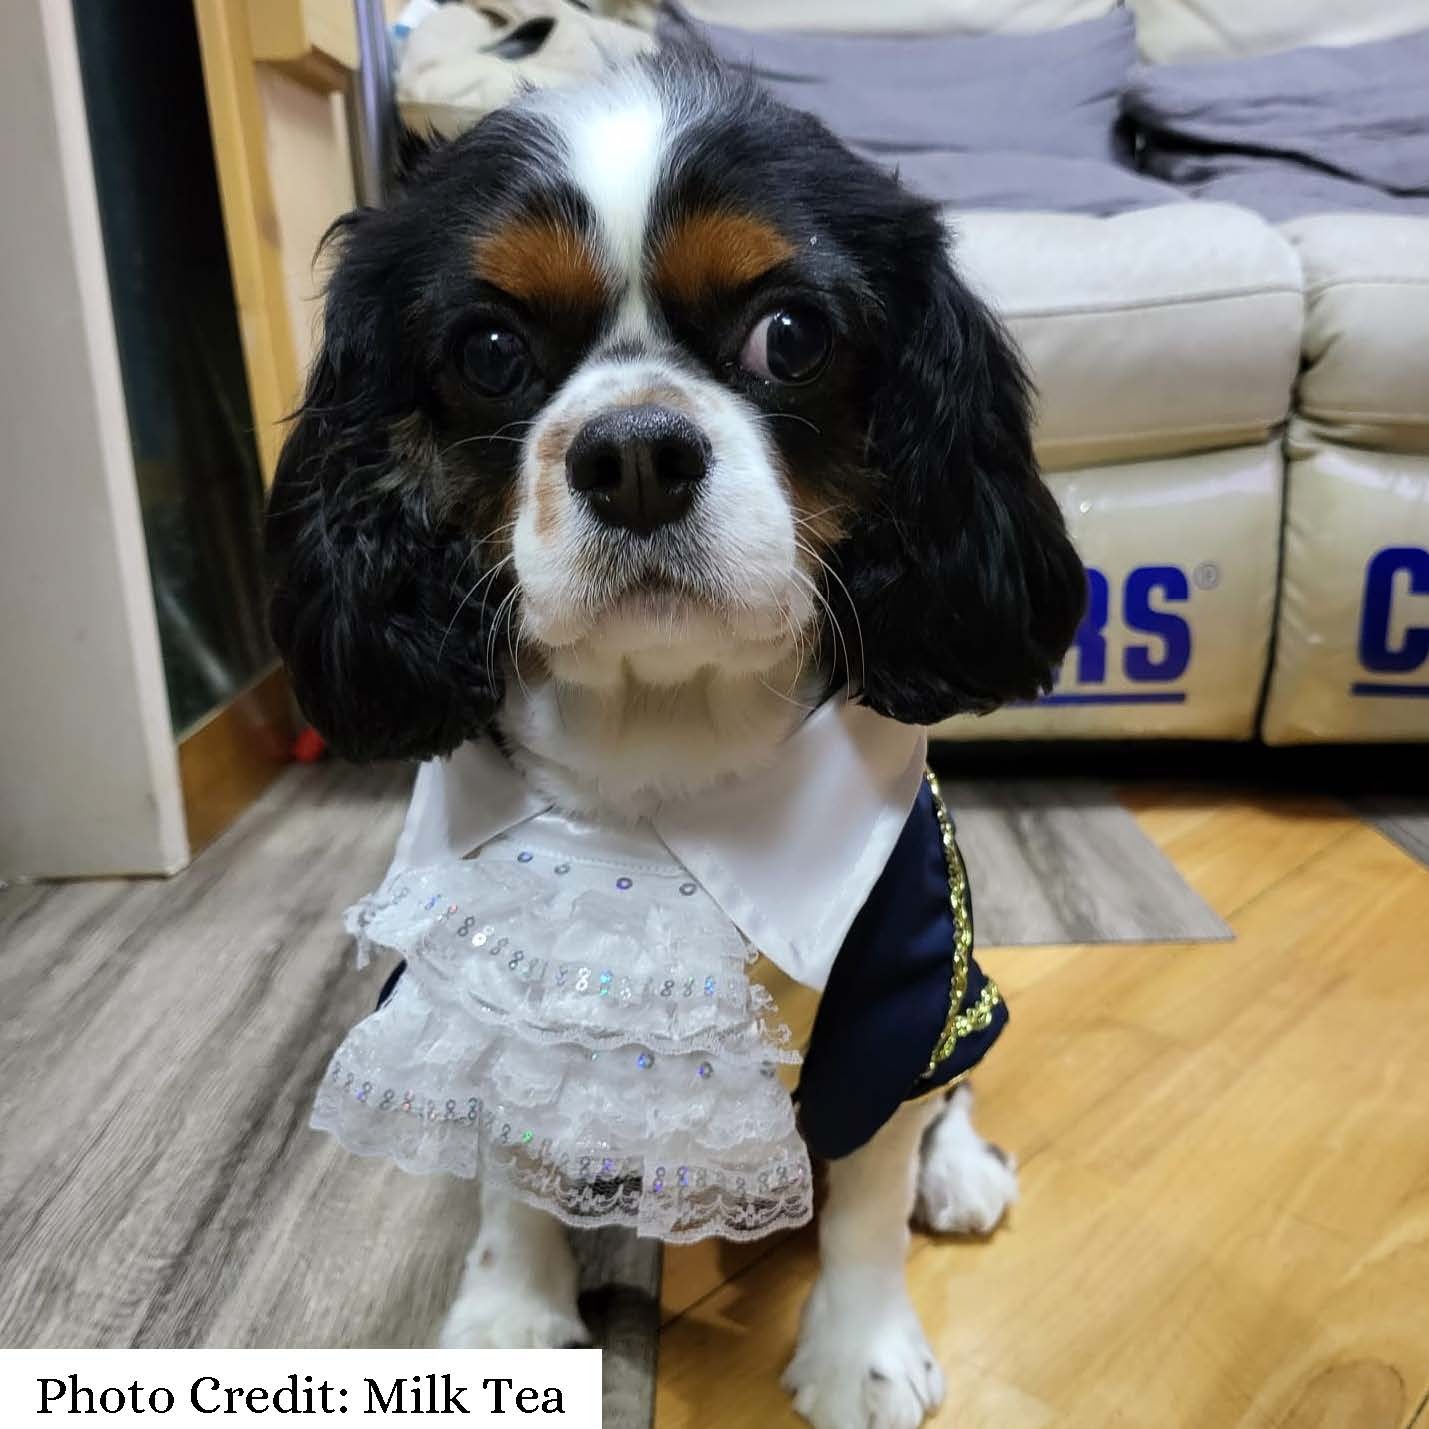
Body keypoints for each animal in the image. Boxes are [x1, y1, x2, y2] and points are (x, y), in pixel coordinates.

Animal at [266, 51, 1084, 1429]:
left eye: (791, 335)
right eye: (490, 350)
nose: (637, 453)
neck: (658, 748)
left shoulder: (903, 981)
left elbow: (867, 1184)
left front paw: (861, 1351)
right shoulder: (470, 986)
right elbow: (502, 1144)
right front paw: (507, 1312)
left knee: (952, 1084)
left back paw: (959, 1169)